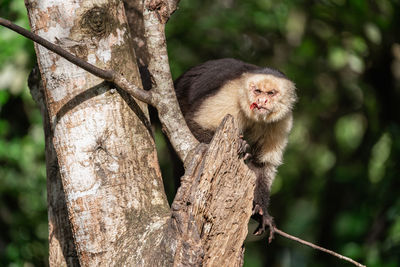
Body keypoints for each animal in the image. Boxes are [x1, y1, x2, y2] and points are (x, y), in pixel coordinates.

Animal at [173, 58, 296, 237]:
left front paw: (262, 211)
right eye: (258, 91)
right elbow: (193, 122)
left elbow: (262, 165)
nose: (262, 101)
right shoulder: (231, 95)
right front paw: (241, 145)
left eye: (271, 93)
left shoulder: (282, 121)